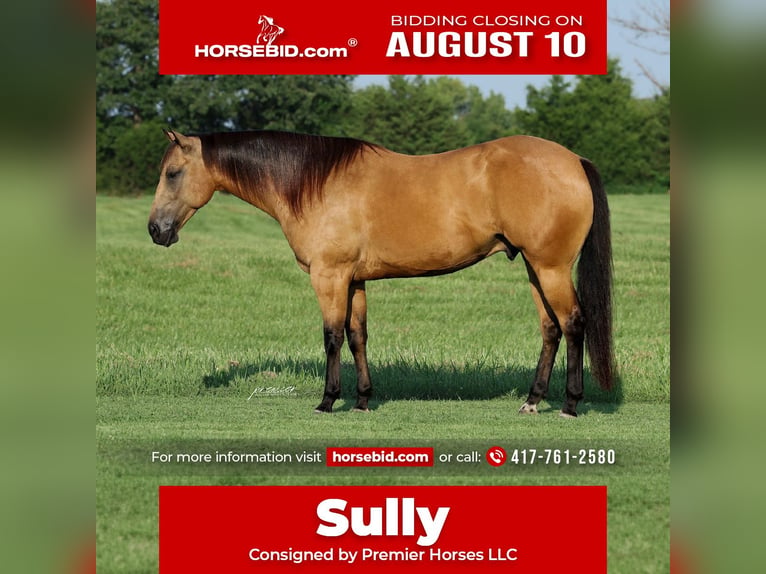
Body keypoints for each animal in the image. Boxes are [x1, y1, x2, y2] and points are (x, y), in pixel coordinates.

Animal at [148, 129, 615, 417]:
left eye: (173, 173)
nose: (155, 230)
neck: (314, 184)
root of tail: (573, 160)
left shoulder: (329, 276)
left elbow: (332, 337)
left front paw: (327, 401)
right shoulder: (354, 280)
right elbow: (358, 337)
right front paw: (362, 400)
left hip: (551, 268)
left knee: (573, 324)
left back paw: (571, 405)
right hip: (536, 268)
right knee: (550, 330)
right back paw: (532, 402)